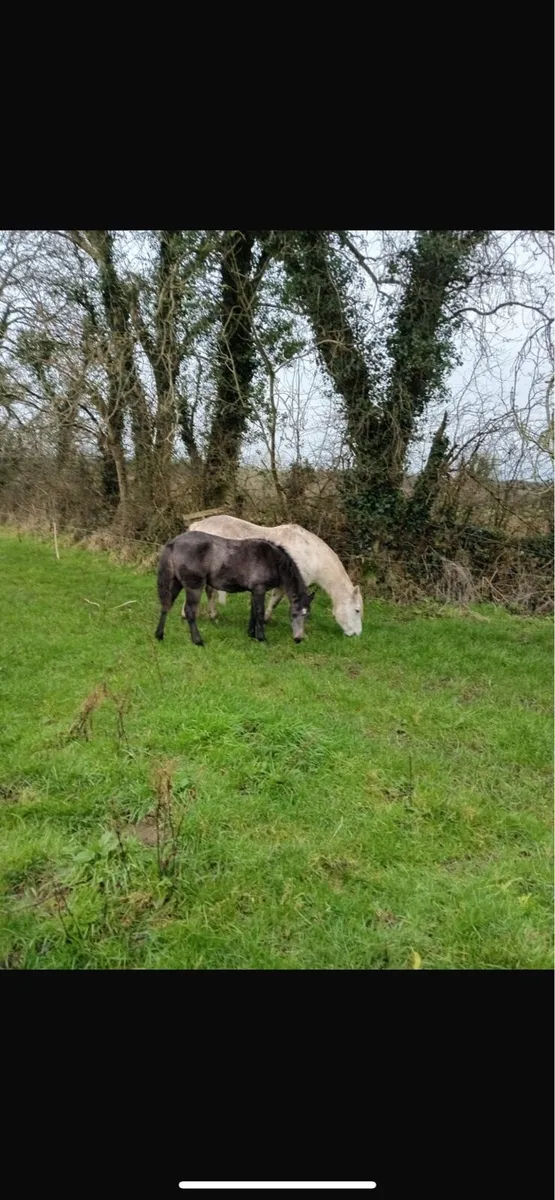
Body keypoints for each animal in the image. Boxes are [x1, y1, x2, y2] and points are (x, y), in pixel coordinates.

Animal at [155, 530, 315, 647]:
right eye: (293, 614)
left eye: (307, 615)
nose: (298, 639)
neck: (272, 559)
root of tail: (173, 543)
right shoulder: (259, 589)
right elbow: (259, 612)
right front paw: (262, 638)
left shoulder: (254, 591)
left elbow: (253, 612)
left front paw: (251, 634)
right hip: (194, 587)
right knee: (189, 611)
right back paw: (198, 641)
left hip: (176, 583)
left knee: (166, 605)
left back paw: (159, 636)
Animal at [188, 515, 363, 637]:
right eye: (357, 610)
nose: (356, 634)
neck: (310, 554)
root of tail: (197, 525)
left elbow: (274, 601)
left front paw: (266, 619)